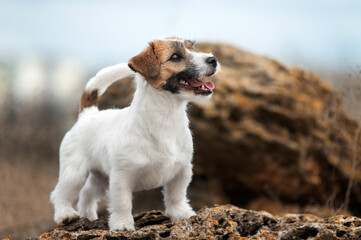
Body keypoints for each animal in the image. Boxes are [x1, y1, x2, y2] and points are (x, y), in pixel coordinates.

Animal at [50, 37, 219, 231]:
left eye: (193, 48)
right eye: (175, 57)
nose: (213, 59)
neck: (166, 118)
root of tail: (88, 114)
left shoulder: (181, 171)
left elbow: (176, 195)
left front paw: (181, 214)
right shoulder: (121, 177)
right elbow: (122, 202)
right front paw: (122, 224)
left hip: (100, 177)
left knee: (87, 193)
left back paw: (88, 216)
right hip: (74, 173)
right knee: (60, 194)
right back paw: (65, 215)